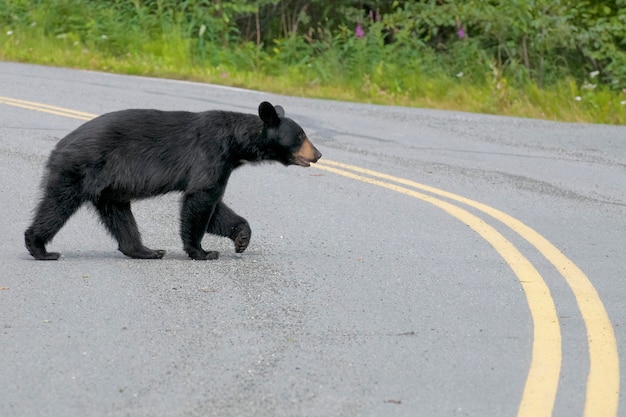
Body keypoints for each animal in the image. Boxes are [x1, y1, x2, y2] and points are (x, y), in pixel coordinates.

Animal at [23, 101, 322, 260]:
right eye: (301, 135)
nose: (318, 154)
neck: (235, 143)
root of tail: (59, 146)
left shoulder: (222, 163)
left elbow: (215, 206)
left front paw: (241, 237)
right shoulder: (211, 154)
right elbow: (200, 198)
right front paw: (202, 252)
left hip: (108, 187)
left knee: (119, 216)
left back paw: (146, 250)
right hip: (78, 170)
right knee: (57, 206)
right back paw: (40, 248)